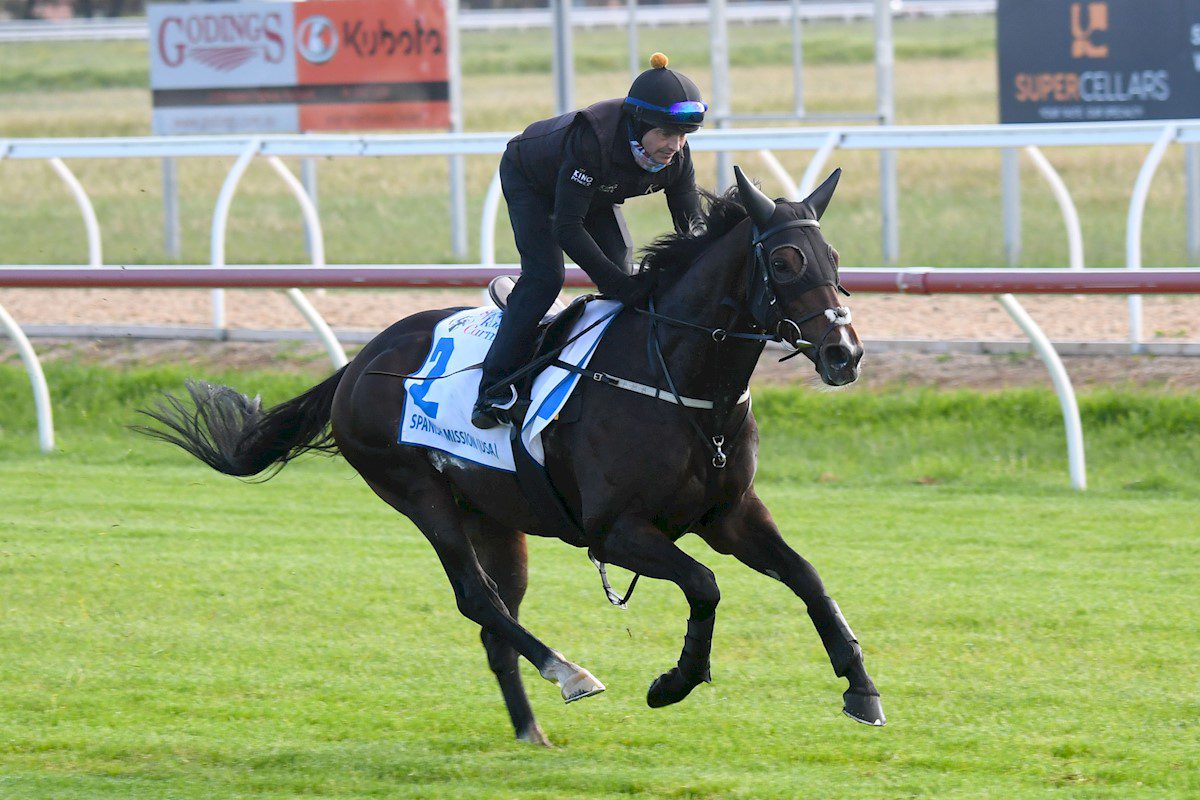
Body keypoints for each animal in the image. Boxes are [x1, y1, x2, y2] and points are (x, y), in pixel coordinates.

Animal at [140, 165, 888, 748]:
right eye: (784, 262)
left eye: (835, 259)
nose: (843, 354)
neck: (680, 379)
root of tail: (358, 363)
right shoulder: (616, 532)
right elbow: (705, 584)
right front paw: (674, 682)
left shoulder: (729, 515)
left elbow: (808, 577)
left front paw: (861, 688)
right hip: (418, 494)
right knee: (478, 600)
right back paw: (570, 673)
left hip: (494, 516)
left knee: (499, 614)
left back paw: (531, 729)